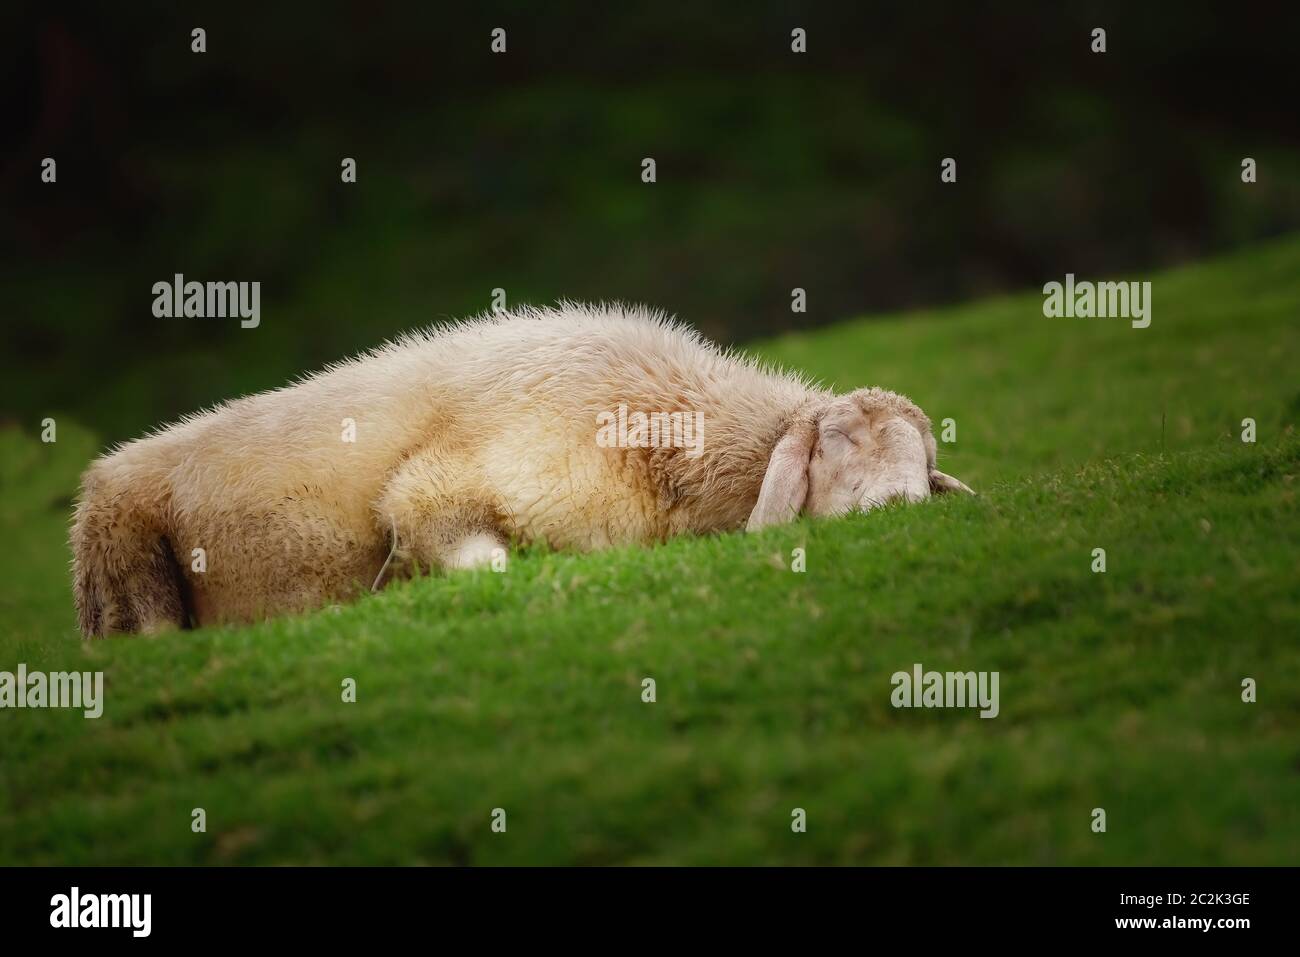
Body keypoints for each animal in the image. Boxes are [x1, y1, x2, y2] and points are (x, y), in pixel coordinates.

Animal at [68, 304, 967, 634]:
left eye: (925, 461)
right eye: (838, 437)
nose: (902, 507)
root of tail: (102, 475)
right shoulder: (438, 490)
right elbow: (476, 558)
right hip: (130, 575)